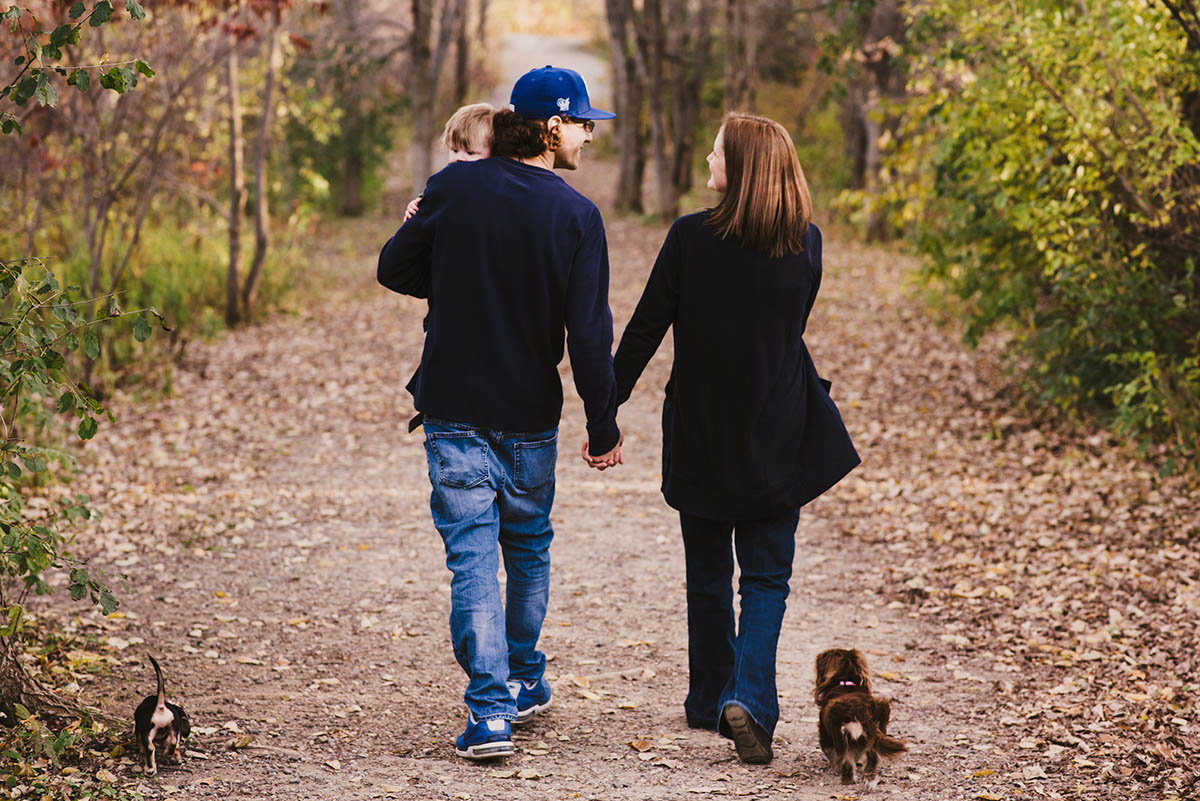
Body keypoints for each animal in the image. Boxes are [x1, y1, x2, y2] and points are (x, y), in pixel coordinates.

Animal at [811, 647, 902, 791]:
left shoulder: (824, 731)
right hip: (875, 733)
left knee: (847, 760)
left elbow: (830, 751)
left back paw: (847, 779)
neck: (845, 683)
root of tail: (861, 710)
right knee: (872, 757)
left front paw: (835, 767)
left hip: (840, 735)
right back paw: (870, 781)